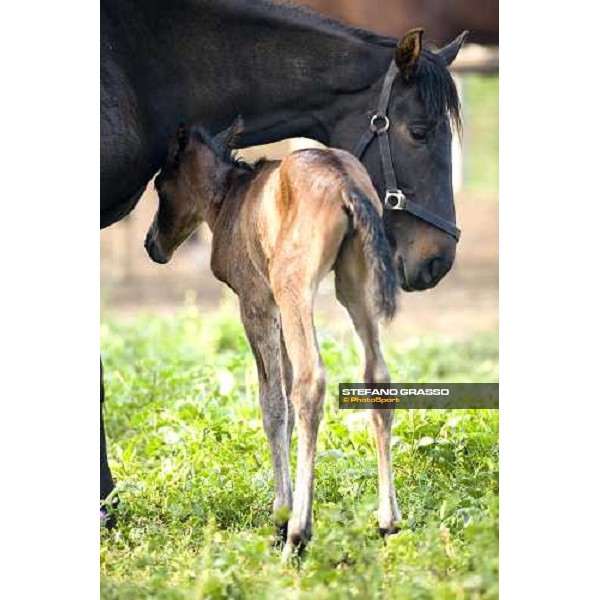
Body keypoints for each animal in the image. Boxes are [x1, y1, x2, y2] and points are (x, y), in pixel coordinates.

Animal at [144, 120, 400, 552]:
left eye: (161, 185)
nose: (152, 245)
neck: (229, 200)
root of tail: (345, 183)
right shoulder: (276, 309)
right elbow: (283, 397)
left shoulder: (256, 301)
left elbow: (273, 401)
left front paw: (282, 512)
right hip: (354, 283)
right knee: (376, 376)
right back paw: (387, 522)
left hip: (293, 284)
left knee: (310, 382)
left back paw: (298, 533)